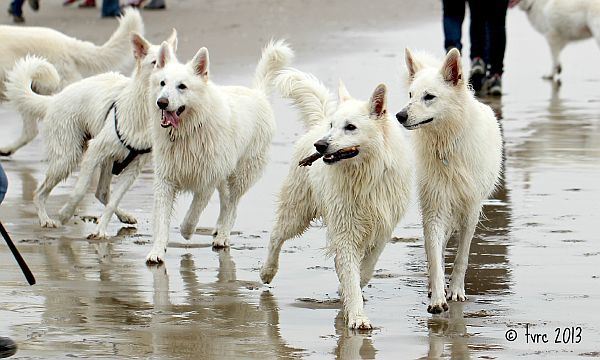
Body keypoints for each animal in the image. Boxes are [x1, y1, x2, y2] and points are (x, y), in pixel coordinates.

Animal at [4, 32, 176, 232]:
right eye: (155, 62)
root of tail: (54, 99)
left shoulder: (134, 167)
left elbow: (113, 199)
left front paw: (101, 231)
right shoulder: (94, 152)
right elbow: (79, 190)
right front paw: (65, 214)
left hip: (105, 160)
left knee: (102, 193)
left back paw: (123, 215)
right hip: (67, 157)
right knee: (39, 192)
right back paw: (45, 219)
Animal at [146, 40, 296, 264]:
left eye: (182, 86)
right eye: (162, 83)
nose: (161, 102)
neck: (188, 131)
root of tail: (258, 94)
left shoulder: (207, 179)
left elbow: (193, 212)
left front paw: (186, 231)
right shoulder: (166, 179)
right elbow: (162, 220)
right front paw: (157, 251)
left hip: (240, 175)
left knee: (231, 206)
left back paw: (222, 236)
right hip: (226, 174)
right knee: (226, 202)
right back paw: (218, 230)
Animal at [260, 68, 414, 330]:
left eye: (350, 127)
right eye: (333, 126)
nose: (320, 145)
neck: (364, 173)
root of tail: (318, 123)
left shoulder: (382, 229)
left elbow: (365, 269)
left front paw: (349, 293)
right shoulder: (345, 229)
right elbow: (351, 274)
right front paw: (357, 316)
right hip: (297, 211)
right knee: (276, 235)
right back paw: (267, 270)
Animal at [396, 49, 504, 314]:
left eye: (429, 97)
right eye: (411, 95)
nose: (399, 116)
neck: (446, 145)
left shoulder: (471, 210)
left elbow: (462, 255)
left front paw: (455, 290)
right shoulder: (434, 206)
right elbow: (435, 256)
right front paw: (437, 297)